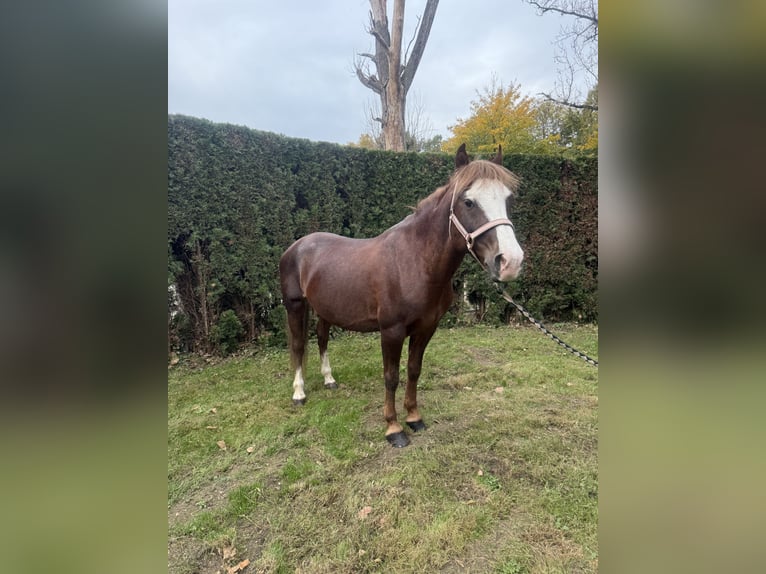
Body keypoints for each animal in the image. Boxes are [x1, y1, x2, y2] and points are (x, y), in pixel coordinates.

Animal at [279, 144, 524, 447]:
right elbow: (391, 377)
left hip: (325, 308)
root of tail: (297, 246)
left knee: (322, 338)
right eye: (468, 202)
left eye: (508, 199)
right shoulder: (391, 331)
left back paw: (329, 380)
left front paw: (414, 418)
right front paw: (393, 428)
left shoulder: (426, 328)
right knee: (299, 345)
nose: (510, 262)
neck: (414, 261)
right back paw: (299, 393)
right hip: (295, 306)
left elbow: (414, 370)